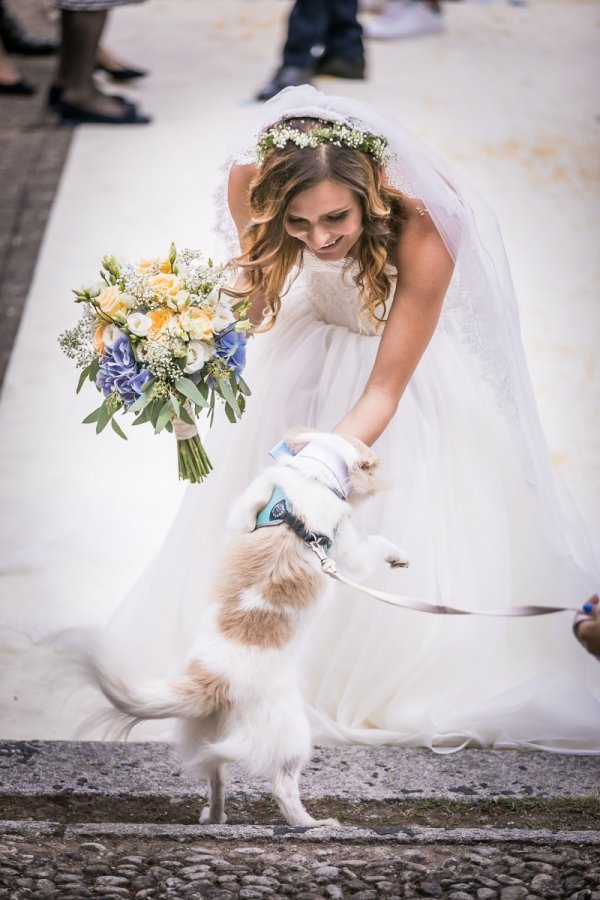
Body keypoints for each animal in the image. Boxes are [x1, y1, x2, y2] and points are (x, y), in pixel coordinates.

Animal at [84, 432, 408, 828]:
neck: (313, 476)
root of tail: (213, 680)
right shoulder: (346, 548)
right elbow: (373, 545)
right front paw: (398, 556)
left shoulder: (245, 506)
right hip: (292, 733)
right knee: (283, 787)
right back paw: (312, 824)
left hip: (211, 732)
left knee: (215, 773)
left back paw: (215, 817)